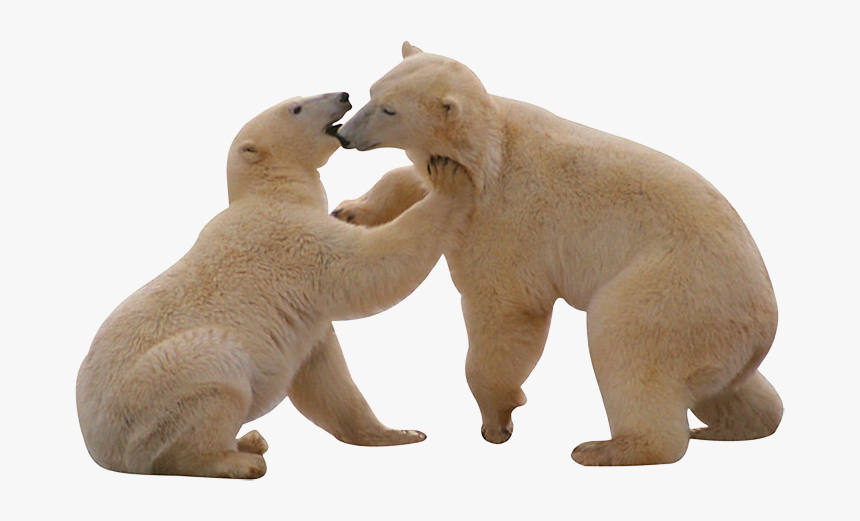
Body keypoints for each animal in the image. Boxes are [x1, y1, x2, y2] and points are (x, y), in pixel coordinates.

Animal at [75, 91, 475, 478]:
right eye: (296, 108)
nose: (343, 95)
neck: (270, 192)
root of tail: (99, 449)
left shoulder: (307, 317)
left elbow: (326, 377)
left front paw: (400, 433)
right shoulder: (293, 238)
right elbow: (372, 266)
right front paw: (448, 180)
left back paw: (250, 441)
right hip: (160, 390)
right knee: (214, 376)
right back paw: (240, 460)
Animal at [333, 42, 783, 466]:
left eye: (389, 109)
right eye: (371, 92)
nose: (343, 134)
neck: (489, 149)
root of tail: (766, 324)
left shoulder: (505, 219)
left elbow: (505, 310)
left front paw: (498, 419)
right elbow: (414, 183)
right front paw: (349, 210)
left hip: (676, 292)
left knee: (627, 347)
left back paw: (606, 449)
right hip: (719, 338)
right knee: (726, 386)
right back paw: (728, 427)